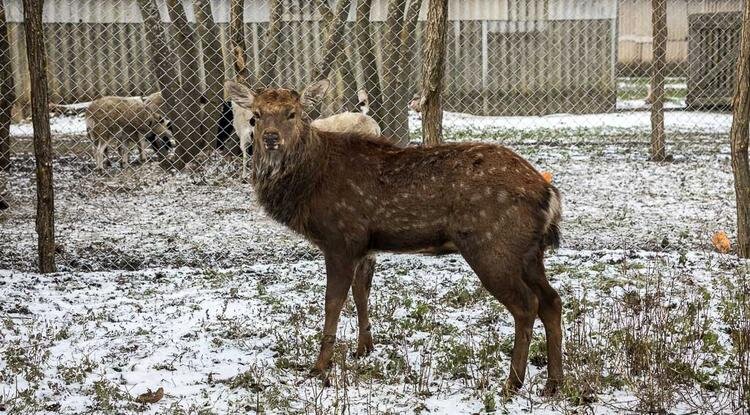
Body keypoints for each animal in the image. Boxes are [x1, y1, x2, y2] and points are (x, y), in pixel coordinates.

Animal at [226, 79, 568, 394]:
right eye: (256, 116)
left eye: (292, 113)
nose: (271, 138)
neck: (310, 183)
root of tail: (548, 192)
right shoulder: (365, 245)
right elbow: (361, 292)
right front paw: (364, 348)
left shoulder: (341, 238)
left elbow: (333, 302)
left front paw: (320, 366)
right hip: (528, 252)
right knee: (552, 300)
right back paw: (553, 382)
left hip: (492, 245)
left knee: (527, 304)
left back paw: (512, 383)